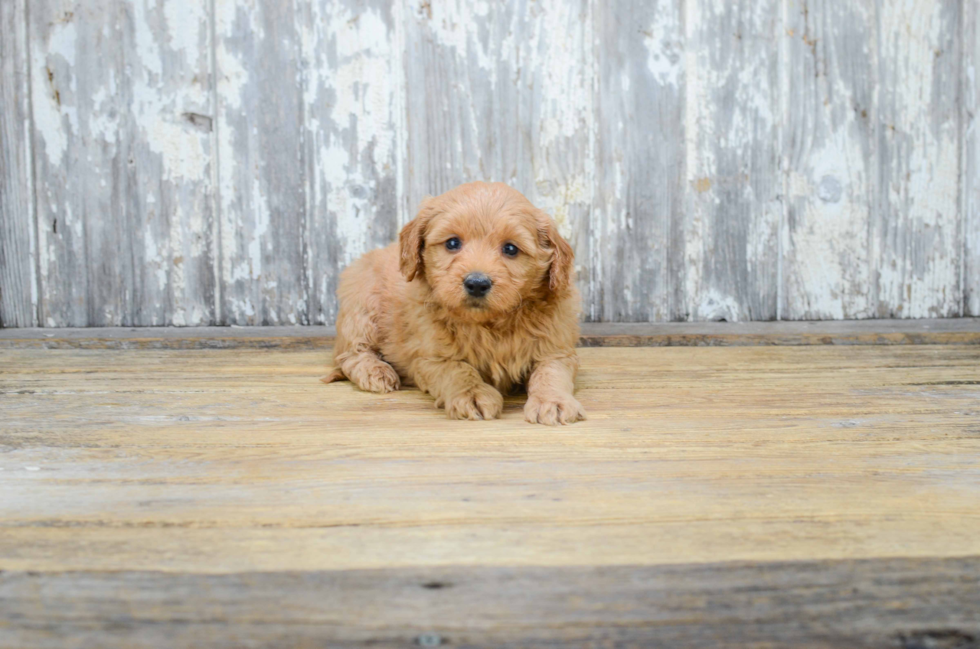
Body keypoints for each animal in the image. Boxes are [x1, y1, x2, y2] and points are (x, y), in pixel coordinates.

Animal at [322, 182, 584, 426]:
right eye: (452, 243)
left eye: (510, 248)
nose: (477, 283)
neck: (490, 325)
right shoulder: (429, 357)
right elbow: (457, 370)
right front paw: (473, 394)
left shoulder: (556, 347)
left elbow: (551, 372)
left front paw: (553, 401)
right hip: (362, 308)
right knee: (351, 353)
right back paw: (376, 372)